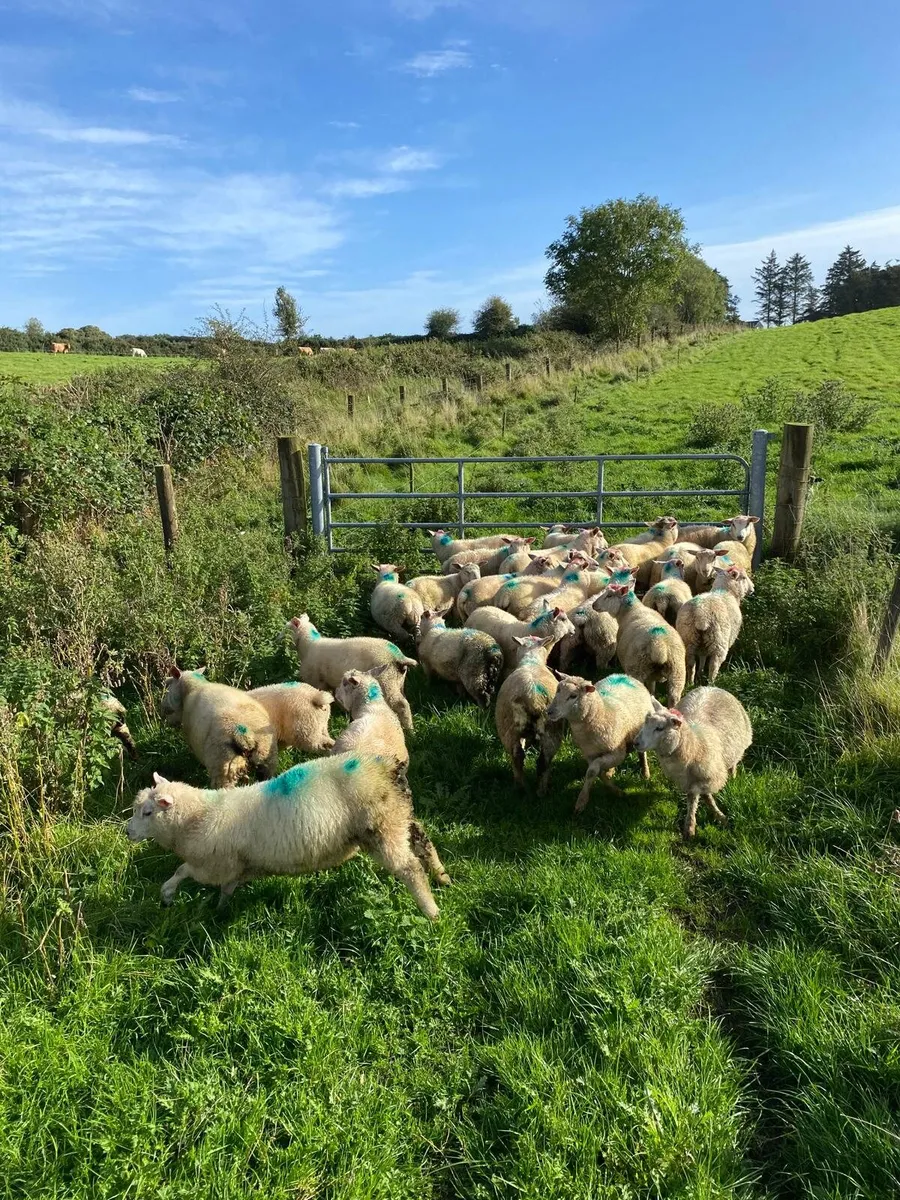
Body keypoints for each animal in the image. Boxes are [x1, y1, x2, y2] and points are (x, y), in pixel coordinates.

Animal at [127, 756, 449, 918]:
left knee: (409, 868)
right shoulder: (236, 868)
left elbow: (181, 871)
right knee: (423, 842)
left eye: (147, 812)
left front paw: (167, 895)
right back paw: (442, 877)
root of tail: (390, 770)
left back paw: (431, 911)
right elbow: (226, 891)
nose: (128, 832)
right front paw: (218, 911)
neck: (197, 816)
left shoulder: (213, 866)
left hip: (381, 828)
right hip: (397, 817)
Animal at [286, 614, 417, 733]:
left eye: (287, 629)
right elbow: (336, 698)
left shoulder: (317, 681)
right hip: (397, 683)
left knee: (401, 705)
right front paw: (345, 713)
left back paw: (409, 729)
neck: (308, 646)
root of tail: (399, 656)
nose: (280, 640)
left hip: (387, 681)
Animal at [495, 635, 564, 793]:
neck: (531, 661)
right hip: (552, 731)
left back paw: (521, 788)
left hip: (508, 729)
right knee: (544, 761)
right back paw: (541, 791)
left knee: (517, 757)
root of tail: (533, 698)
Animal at [546, 672, 654, 812]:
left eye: (573, 696)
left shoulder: (618, 753)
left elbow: (592, 771)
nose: (549, 712)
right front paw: (614, 789)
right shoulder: (590, 754)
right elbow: (596, 772)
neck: (602, 713)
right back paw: (611, 771)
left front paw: (581, 801)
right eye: (558, 690)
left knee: (642, 753)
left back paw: (645, 773)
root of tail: (624, 674)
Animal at [634, 689, 752, 839]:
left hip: (739, 745)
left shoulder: (709, 777)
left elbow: (704, 796)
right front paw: (690, 827)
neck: (693, 745)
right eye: (645, 723)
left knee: (734, 763)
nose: (635, 742)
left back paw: (733, 776)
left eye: (659, 728)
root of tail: (712, 687)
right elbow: (694, 799)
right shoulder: (688, 780)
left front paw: (720, 816)